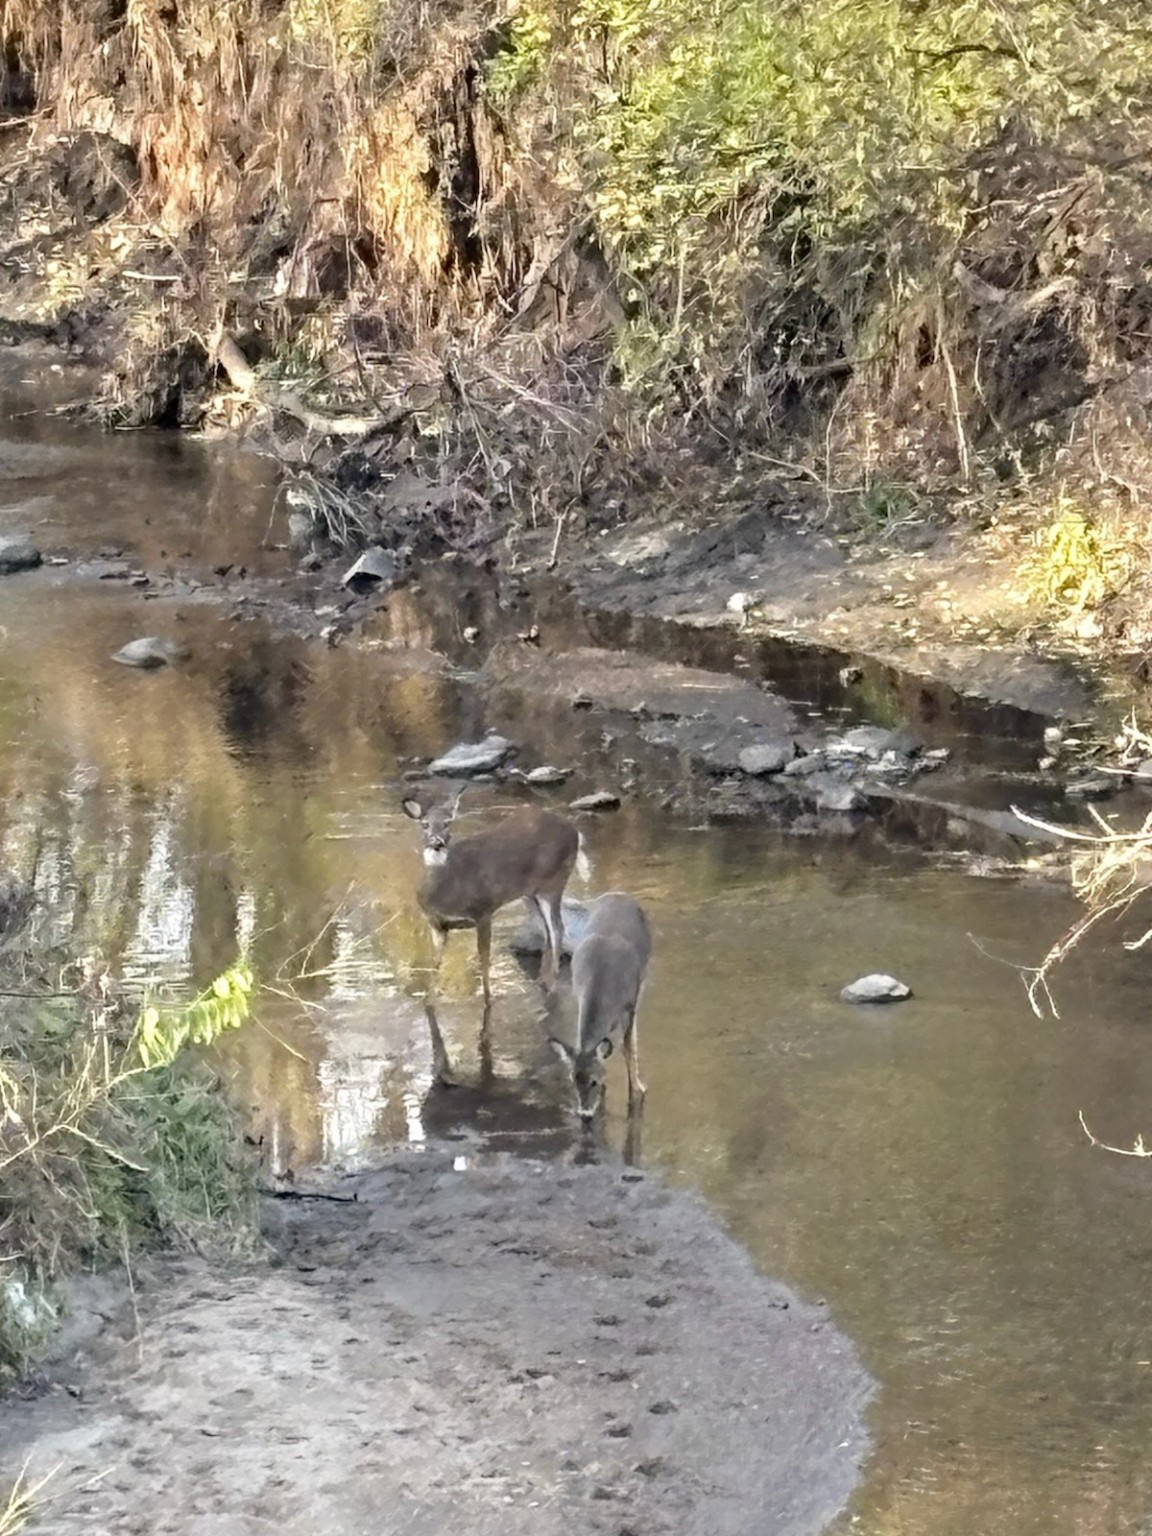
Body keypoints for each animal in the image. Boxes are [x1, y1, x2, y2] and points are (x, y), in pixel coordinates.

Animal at [402, 786, 586, 1013]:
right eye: (425, 824)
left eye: (447, 822)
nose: (437, 843)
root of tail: (575, 831)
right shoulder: (437, 924)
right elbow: (434, 963)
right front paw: (427, 1000)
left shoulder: (483, 910)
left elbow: (484, 959)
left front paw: (488, 1001)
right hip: (530, 892)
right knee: (547, 930)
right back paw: (543, 981)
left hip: (553, 882)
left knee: (557, 929)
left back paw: (551, 986)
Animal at [549, 897, 651, 1124]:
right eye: (573, 1081)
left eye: (593, 1081)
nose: (585, 1114)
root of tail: (619, 895)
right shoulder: (579, 996)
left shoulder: (630, 1006)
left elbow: (628, 1047)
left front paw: (637, 1090)